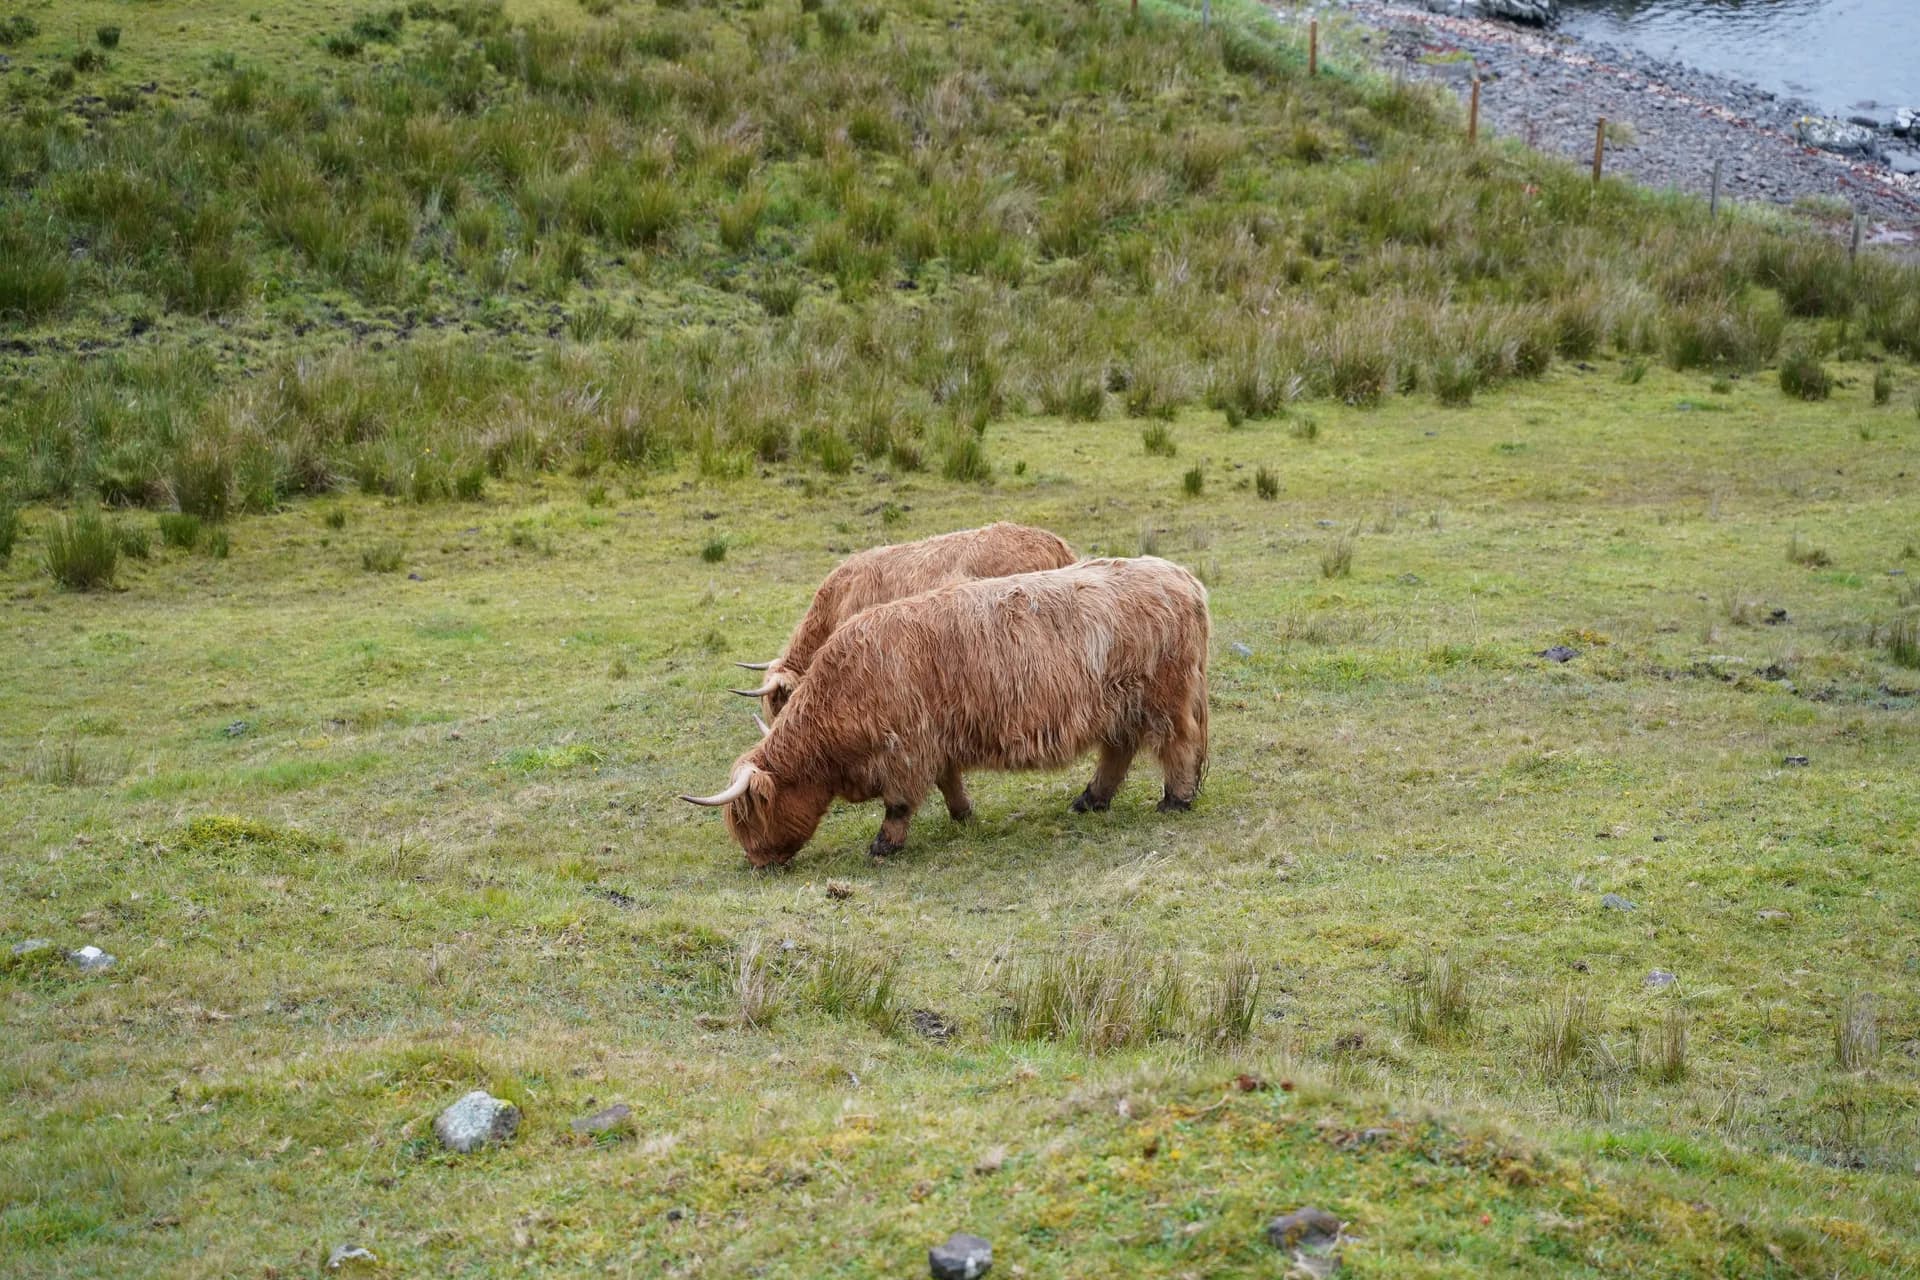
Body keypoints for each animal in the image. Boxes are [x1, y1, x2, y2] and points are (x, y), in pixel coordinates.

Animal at [683, 556, 1205, 867]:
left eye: (749, 818)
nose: (758, 863)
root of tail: (1180, 575)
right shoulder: (937, 740)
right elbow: (949, 781)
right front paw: (964, 816)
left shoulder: (905, 748)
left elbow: (898, 804)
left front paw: (883, 846)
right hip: (1119, 707)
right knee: (1118, 751)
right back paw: (1090, 799)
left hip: (1164, 699)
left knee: (1179, 746)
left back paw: (1174, 801)